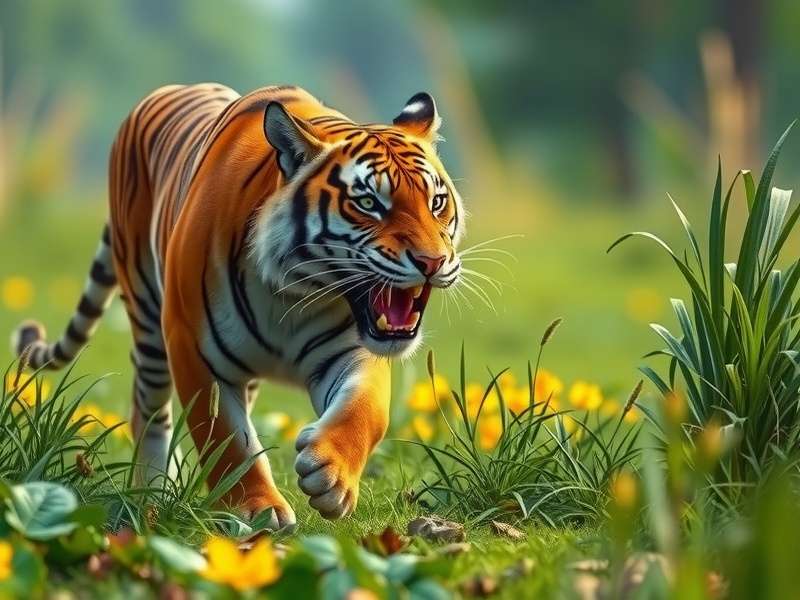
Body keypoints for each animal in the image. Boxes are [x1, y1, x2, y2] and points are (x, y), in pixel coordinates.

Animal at [11, 83, 464, 528]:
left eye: (436, 203)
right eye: (369, 204)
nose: (432, 262)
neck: (294, 291)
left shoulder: (353, 349)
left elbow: (366, 410)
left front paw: (331, 475)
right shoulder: (193, 347)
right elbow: (225, 437)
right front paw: (257, 509)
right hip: (148, 319)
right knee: (148, 410)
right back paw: (155, 492)